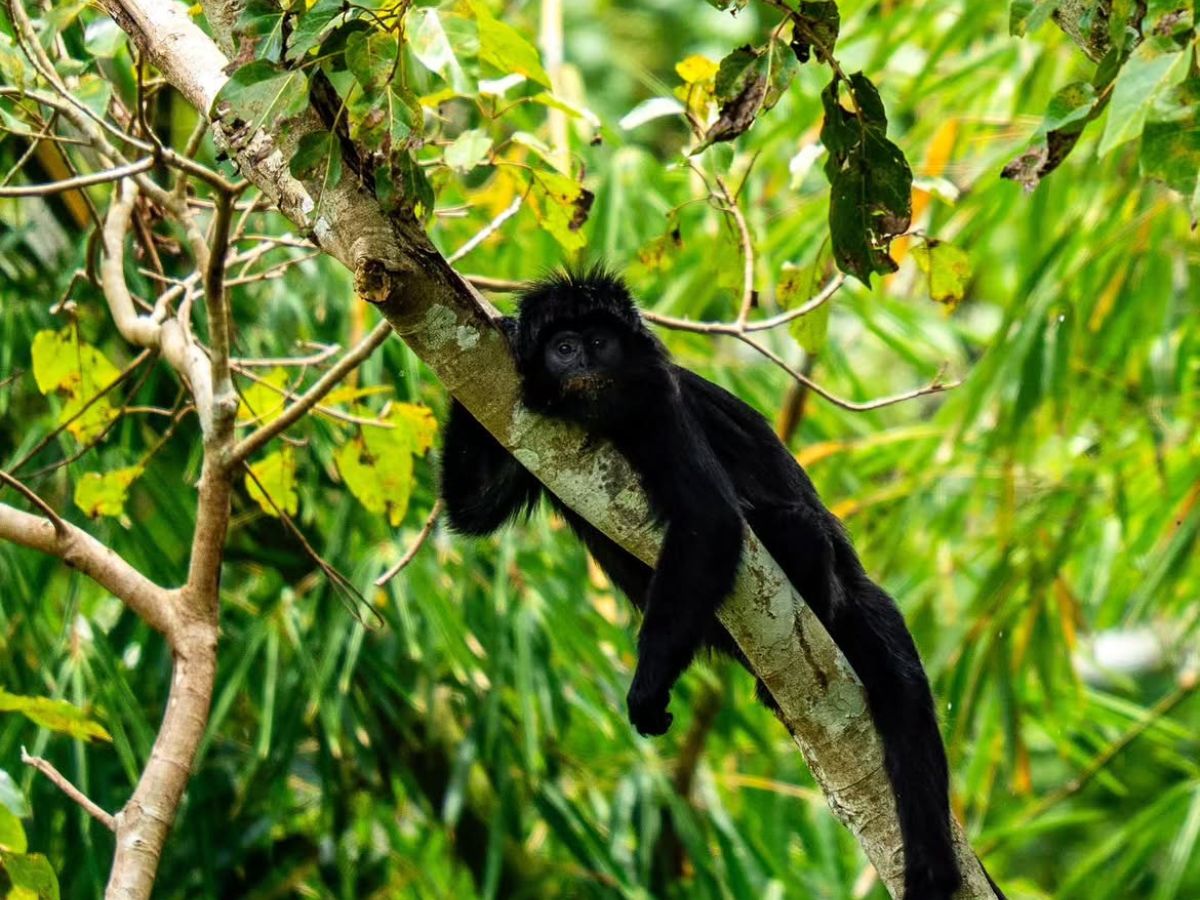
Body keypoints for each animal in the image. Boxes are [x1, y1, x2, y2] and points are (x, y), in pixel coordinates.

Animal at [439, 267, 972, 899]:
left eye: (599, 342)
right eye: (563, 348)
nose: (582, 363)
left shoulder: (660, 405)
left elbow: (710, 521)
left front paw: (647, 688)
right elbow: (474, 509)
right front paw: (497, 324)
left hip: (843, 593)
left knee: (797, 535)